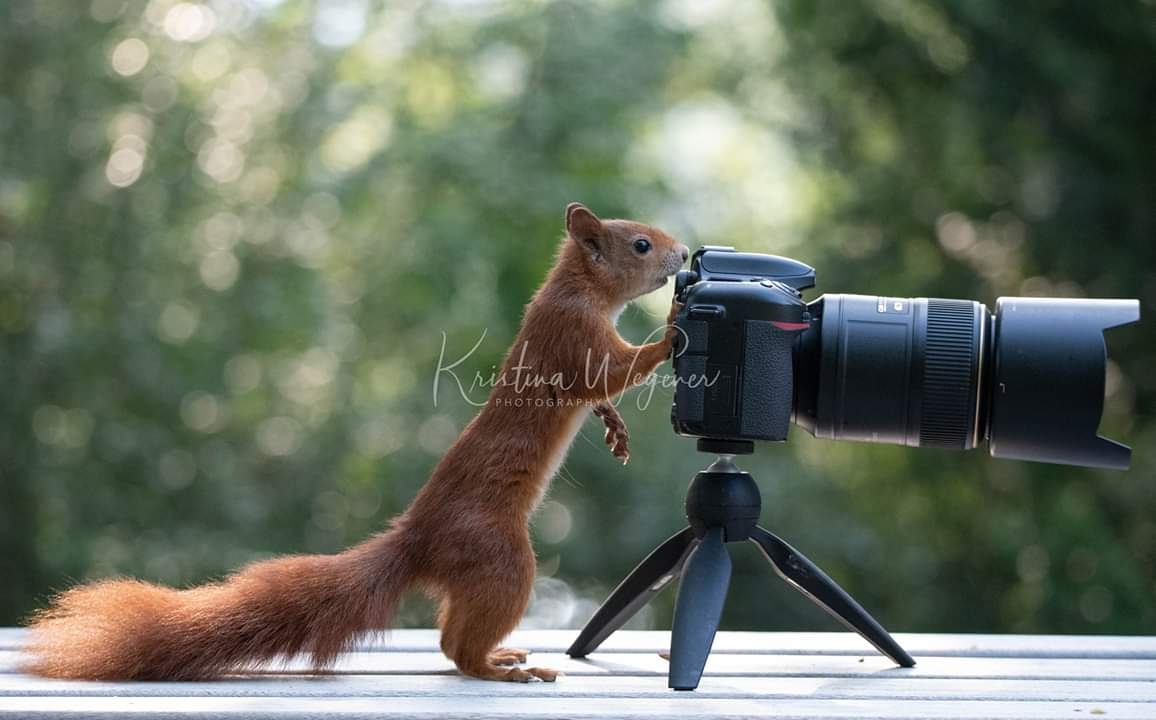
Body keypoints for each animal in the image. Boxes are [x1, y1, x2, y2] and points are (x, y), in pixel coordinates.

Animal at [22, 201, 684, 679]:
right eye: (641, 244)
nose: (681, 254)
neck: (578, 287)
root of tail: (418, 540)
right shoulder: (572, 337)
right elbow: (610, 372)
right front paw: (670, 334)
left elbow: (603, 395)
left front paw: (613, 424)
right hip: (501, 558)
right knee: (459, 646)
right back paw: (497, 668)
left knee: (449, 638)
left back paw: (497, 658)